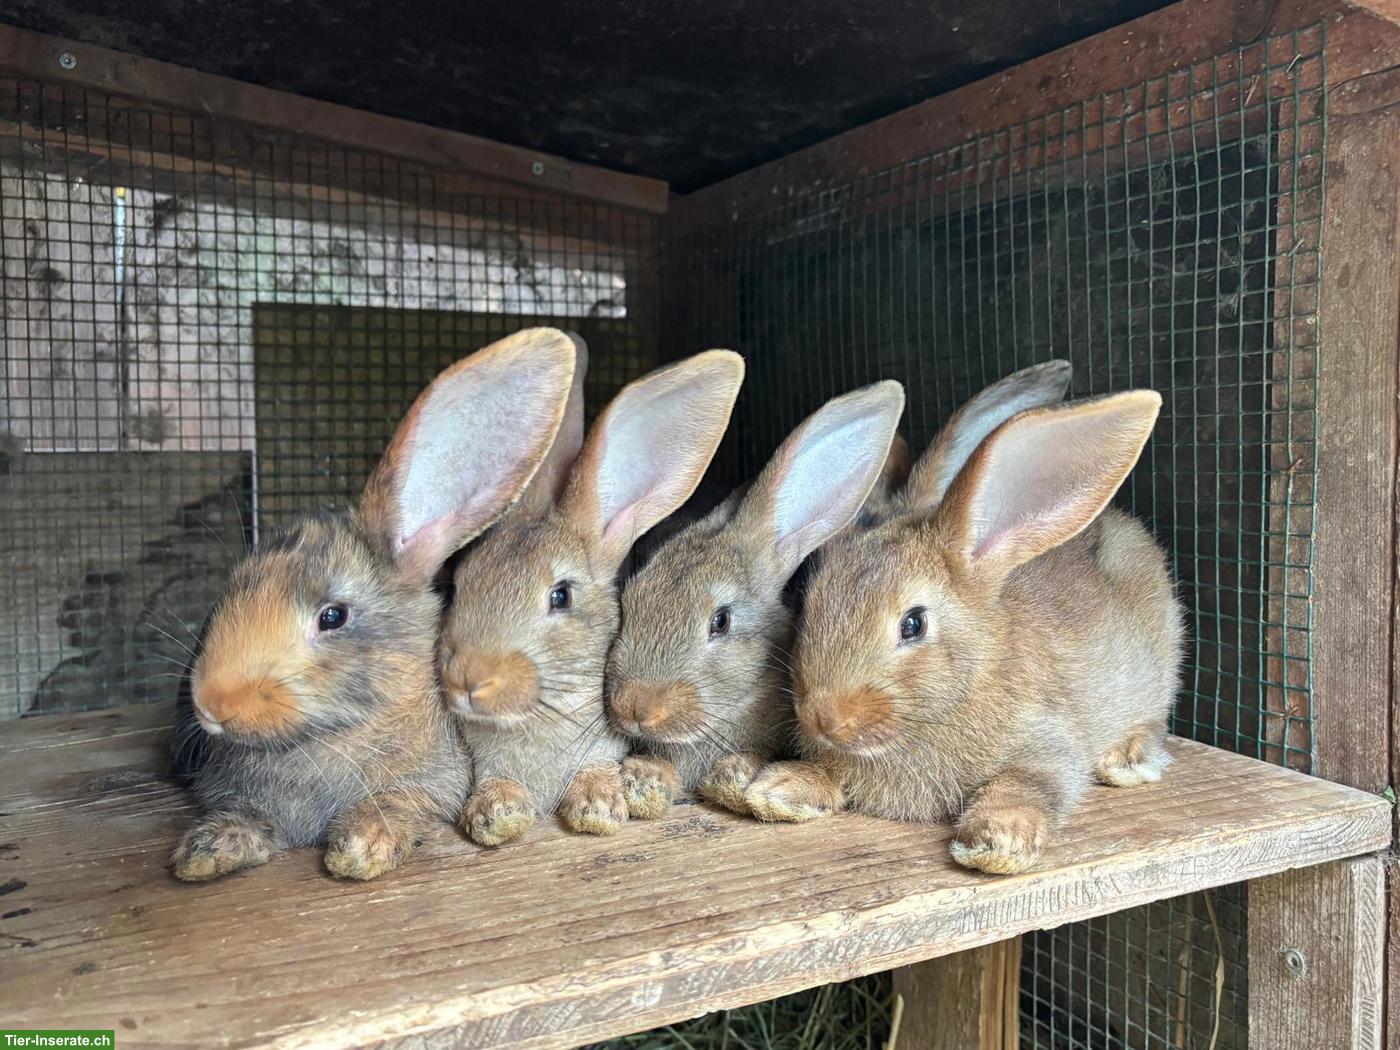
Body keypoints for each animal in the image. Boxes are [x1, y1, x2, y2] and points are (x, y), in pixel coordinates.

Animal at [168, 328, 578, 882]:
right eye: (229, 589)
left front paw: (361, 847)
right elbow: (244, 812)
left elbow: (401, 801)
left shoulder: (437, 780)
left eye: (333, 616)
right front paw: (209, 850)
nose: (211, 704)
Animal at [438, 348, 746, 846]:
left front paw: (597, 805)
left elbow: (597, 770)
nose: (467, 678)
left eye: (561, 596)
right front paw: (495, 813)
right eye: (459, 582)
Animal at [743, 387, 1185, 876]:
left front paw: (996, 842)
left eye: (913, 624)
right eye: (808, 600)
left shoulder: (1049, 746)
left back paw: (1125, 760)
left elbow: (1027, 783)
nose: (824, 717)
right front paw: (779, 789)